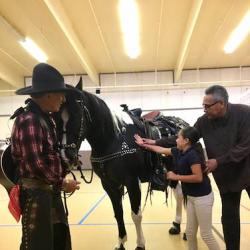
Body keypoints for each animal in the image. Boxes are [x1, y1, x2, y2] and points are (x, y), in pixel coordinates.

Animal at [53, 81, 188, 249]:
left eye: (78, 114)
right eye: (54, 116)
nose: (66, 156)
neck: (112, 139)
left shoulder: (132, 182)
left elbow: (136, 214)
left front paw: (140, 244)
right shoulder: (109, 184)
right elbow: (118, 213)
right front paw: (121, 242)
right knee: (179, 194)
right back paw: (176, 224)